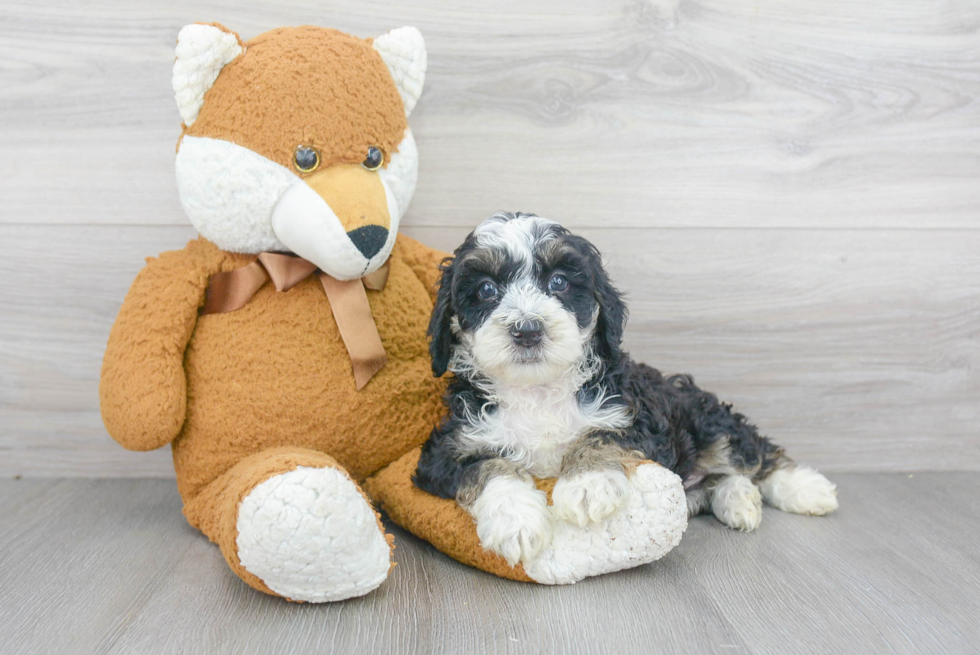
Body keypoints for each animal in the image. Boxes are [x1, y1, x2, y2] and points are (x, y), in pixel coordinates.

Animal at [412, 213, 836, 568]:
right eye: (485, 289)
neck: (538, 389)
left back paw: (806, 490)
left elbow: (600, 437)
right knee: (716, 481)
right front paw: (516, 521)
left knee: (755, 455)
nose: (528, 330)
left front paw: (586, 485)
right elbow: (488, 466)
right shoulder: (445, 451)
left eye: (559, 282)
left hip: (705, 419)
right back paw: (739, 500)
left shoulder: (638, 418)